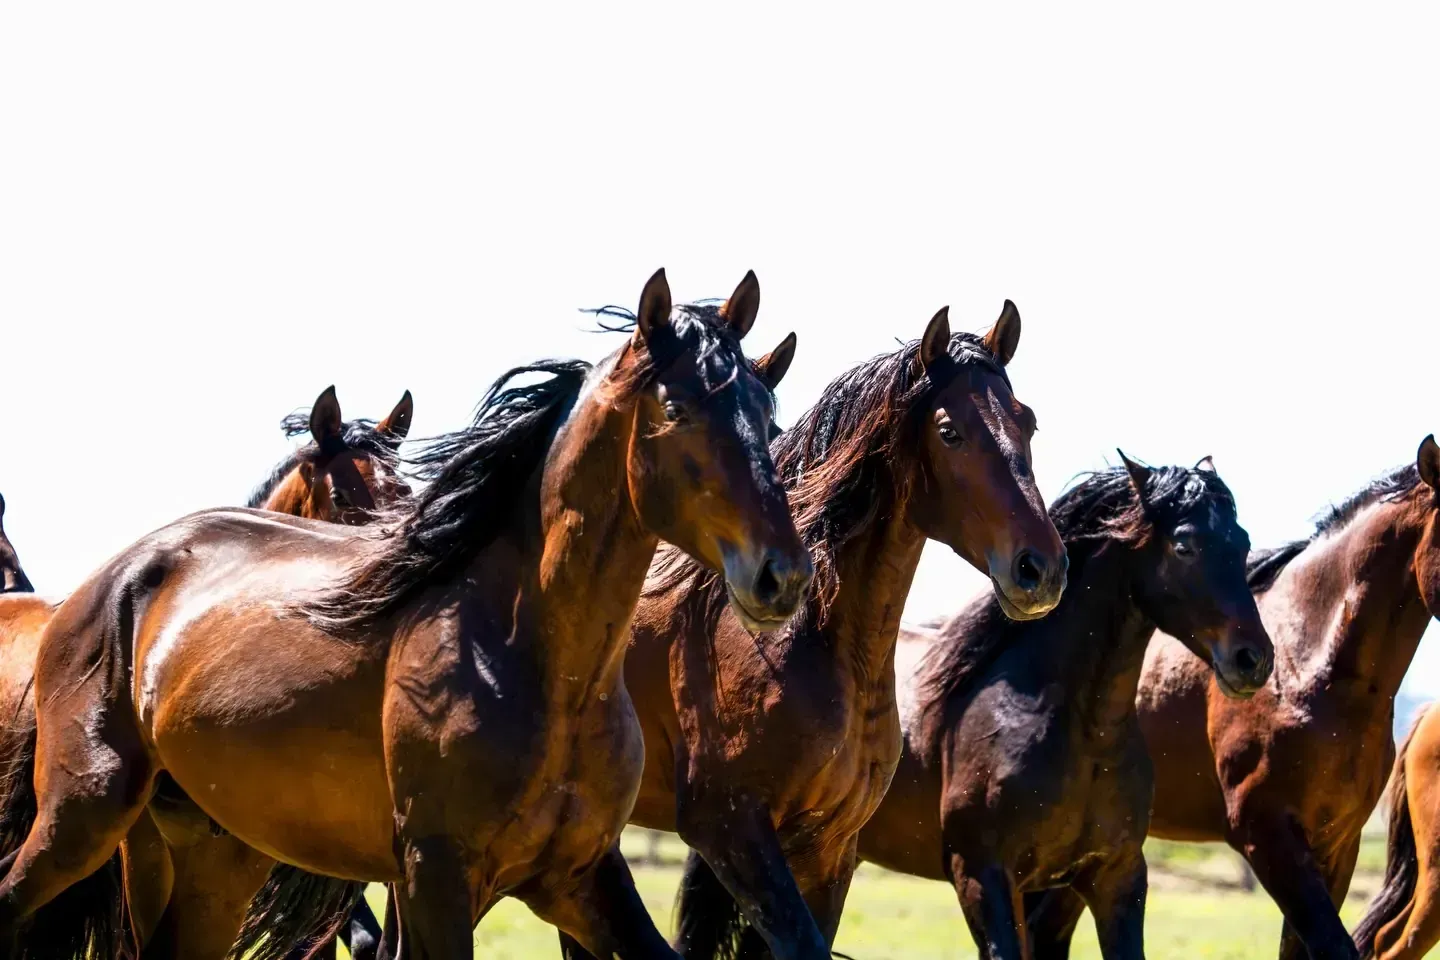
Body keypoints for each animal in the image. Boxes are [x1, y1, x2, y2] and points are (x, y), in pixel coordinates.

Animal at [614, 302, 1068, 960]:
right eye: (950, 431)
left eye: (1026, 422)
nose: (1042, 570)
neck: (809, 642)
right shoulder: (730, 830)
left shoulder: (828, 850)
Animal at [857, 457, 1273, 960]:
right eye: (1184, 546)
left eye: (1242, 542)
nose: (1253, 659)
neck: (1082, 733)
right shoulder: (982, 877)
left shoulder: (1116, 877)